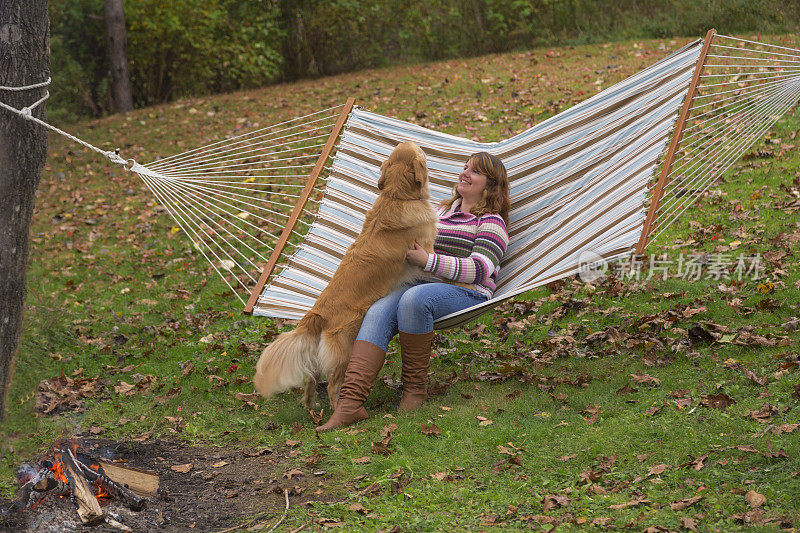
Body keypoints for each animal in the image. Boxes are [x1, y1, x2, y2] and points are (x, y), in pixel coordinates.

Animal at [253, 140, 438, 408]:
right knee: (332, 384)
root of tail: (316, 313)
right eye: (421, 151)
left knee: (311, 379)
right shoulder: (425, 251)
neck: (397, 195)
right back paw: (340, 409)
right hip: (347, 347)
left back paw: (312, 408)